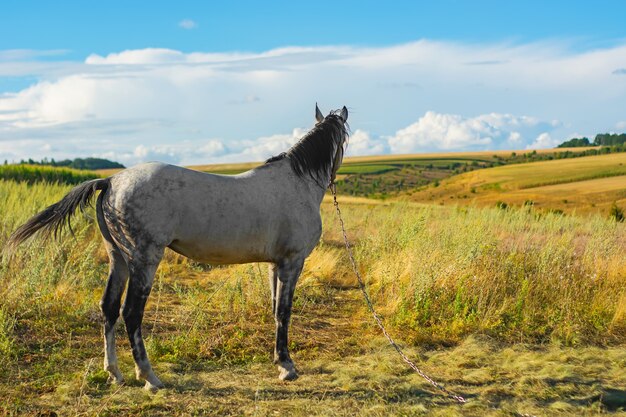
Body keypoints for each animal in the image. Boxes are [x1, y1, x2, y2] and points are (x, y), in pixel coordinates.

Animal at [4, 105, 346, 390]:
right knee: (131, 313)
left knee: (109, 309)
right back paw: (149, 377)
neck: (297, 182)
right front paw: (288, 367)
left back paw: (114, 373)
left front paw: (279, 362)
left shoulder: (275, 264)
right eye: (344, 138)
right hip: (144, 260)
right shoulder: (292, 262)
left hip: (119, 259)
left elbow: (275, 309)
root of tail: (111, 181)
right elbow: (285, 311)